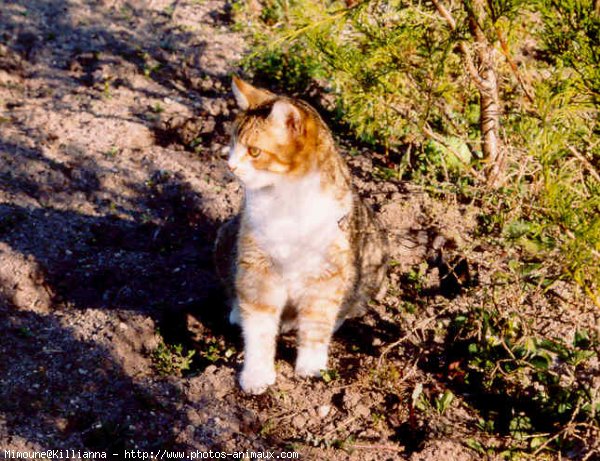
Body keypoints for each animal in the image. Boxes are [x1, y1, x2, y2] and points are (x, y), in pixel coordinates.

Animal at [213, 78, 386, 392]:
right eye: (232, 144)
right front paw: (256, 374)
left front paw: (311, 366)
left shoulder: (326, 274)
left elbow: (317, 324)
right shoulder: (257, 266)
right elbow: (258, 327)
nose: (230, 166)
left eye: (254, 151)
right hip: (225, 238)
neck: (285, 200)